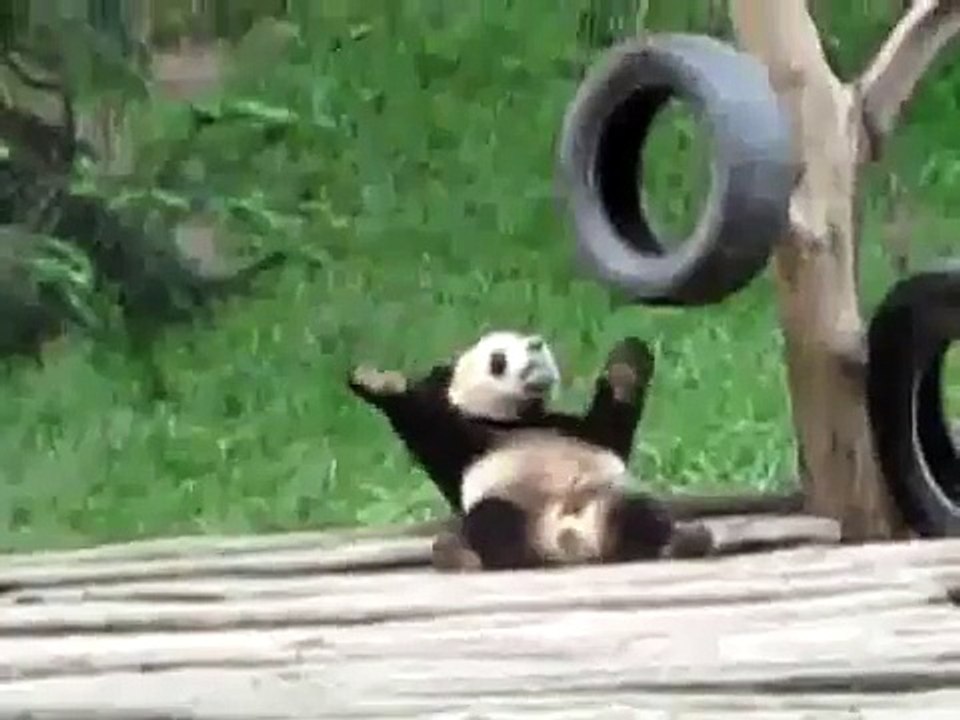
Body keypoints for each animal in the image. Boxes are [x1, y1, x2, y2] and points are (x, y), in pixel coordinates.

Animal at [348, 330, 716, 571]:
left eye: (525, 338)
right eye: (497, 358)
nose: (536, 344)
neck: (519, 419)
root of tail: (567, 539)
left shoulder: (576, 430)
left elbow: (611, 427)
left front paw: (628, 361)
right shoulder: (465, 446)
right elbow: (430, 433)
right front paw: (381, 382)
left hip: (606, 498)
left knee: (640, 512)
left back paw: (678, 542)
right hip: (516, 506)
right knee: (494, 523)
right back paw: (468, 556)